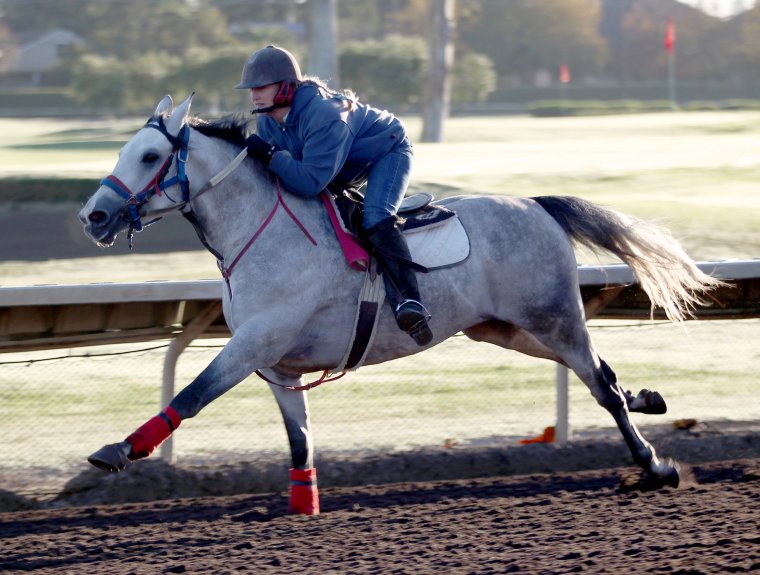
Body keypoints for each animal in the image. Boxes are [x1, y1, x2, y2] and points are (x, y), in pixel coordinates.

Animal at [79, 94, 721, 515]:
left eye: (148, 157)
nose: (94, 216)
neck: (261, 232)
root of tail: (538, 204)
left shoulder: (253, 344)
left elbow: (190, 395)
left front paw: (115, 452)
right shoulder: (279, 367)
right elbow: (299, 439)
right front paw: (304, 502)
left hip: (554, 317)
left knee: (600, 384)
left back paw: (654, 466)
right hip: (503, 327)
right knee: (596, 374)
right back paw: (647, 399)